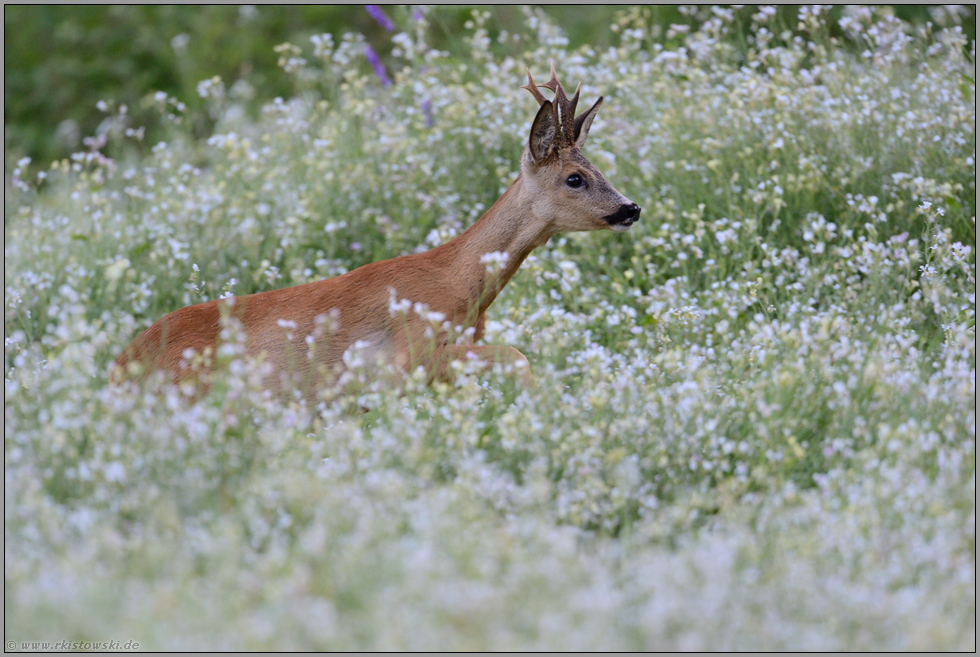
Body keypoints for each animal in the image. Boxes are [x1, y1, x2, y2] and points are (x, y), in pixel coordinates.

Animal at [113, 65, 644, 394]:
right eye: (574, 178)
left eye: (597, 167)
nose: (631, 208)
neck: (460, 287)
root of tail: (119, 368)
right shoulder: (408, 356)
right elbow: (518, 356)